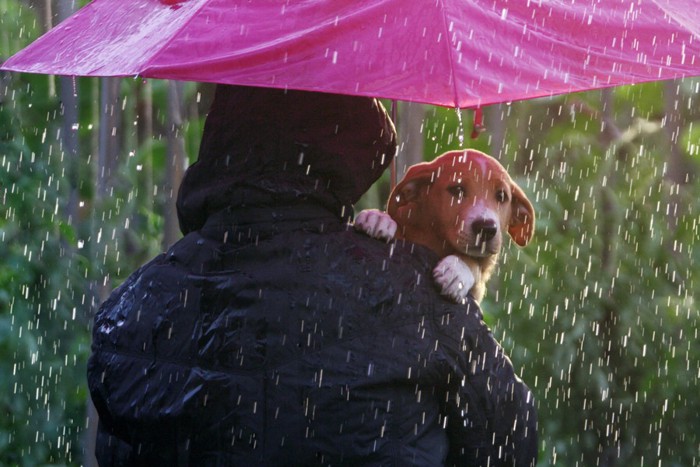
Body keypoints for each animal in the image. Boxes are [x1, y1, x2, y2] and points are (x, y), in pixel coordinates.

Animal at [358, 150, 532, 304]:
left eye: (501, 196)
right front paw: (379, 218)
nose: (486, 228)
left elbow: (473, 263)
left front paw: (457, 271)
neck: (437, 241)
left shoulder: (478, 292)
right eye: (457, 190)